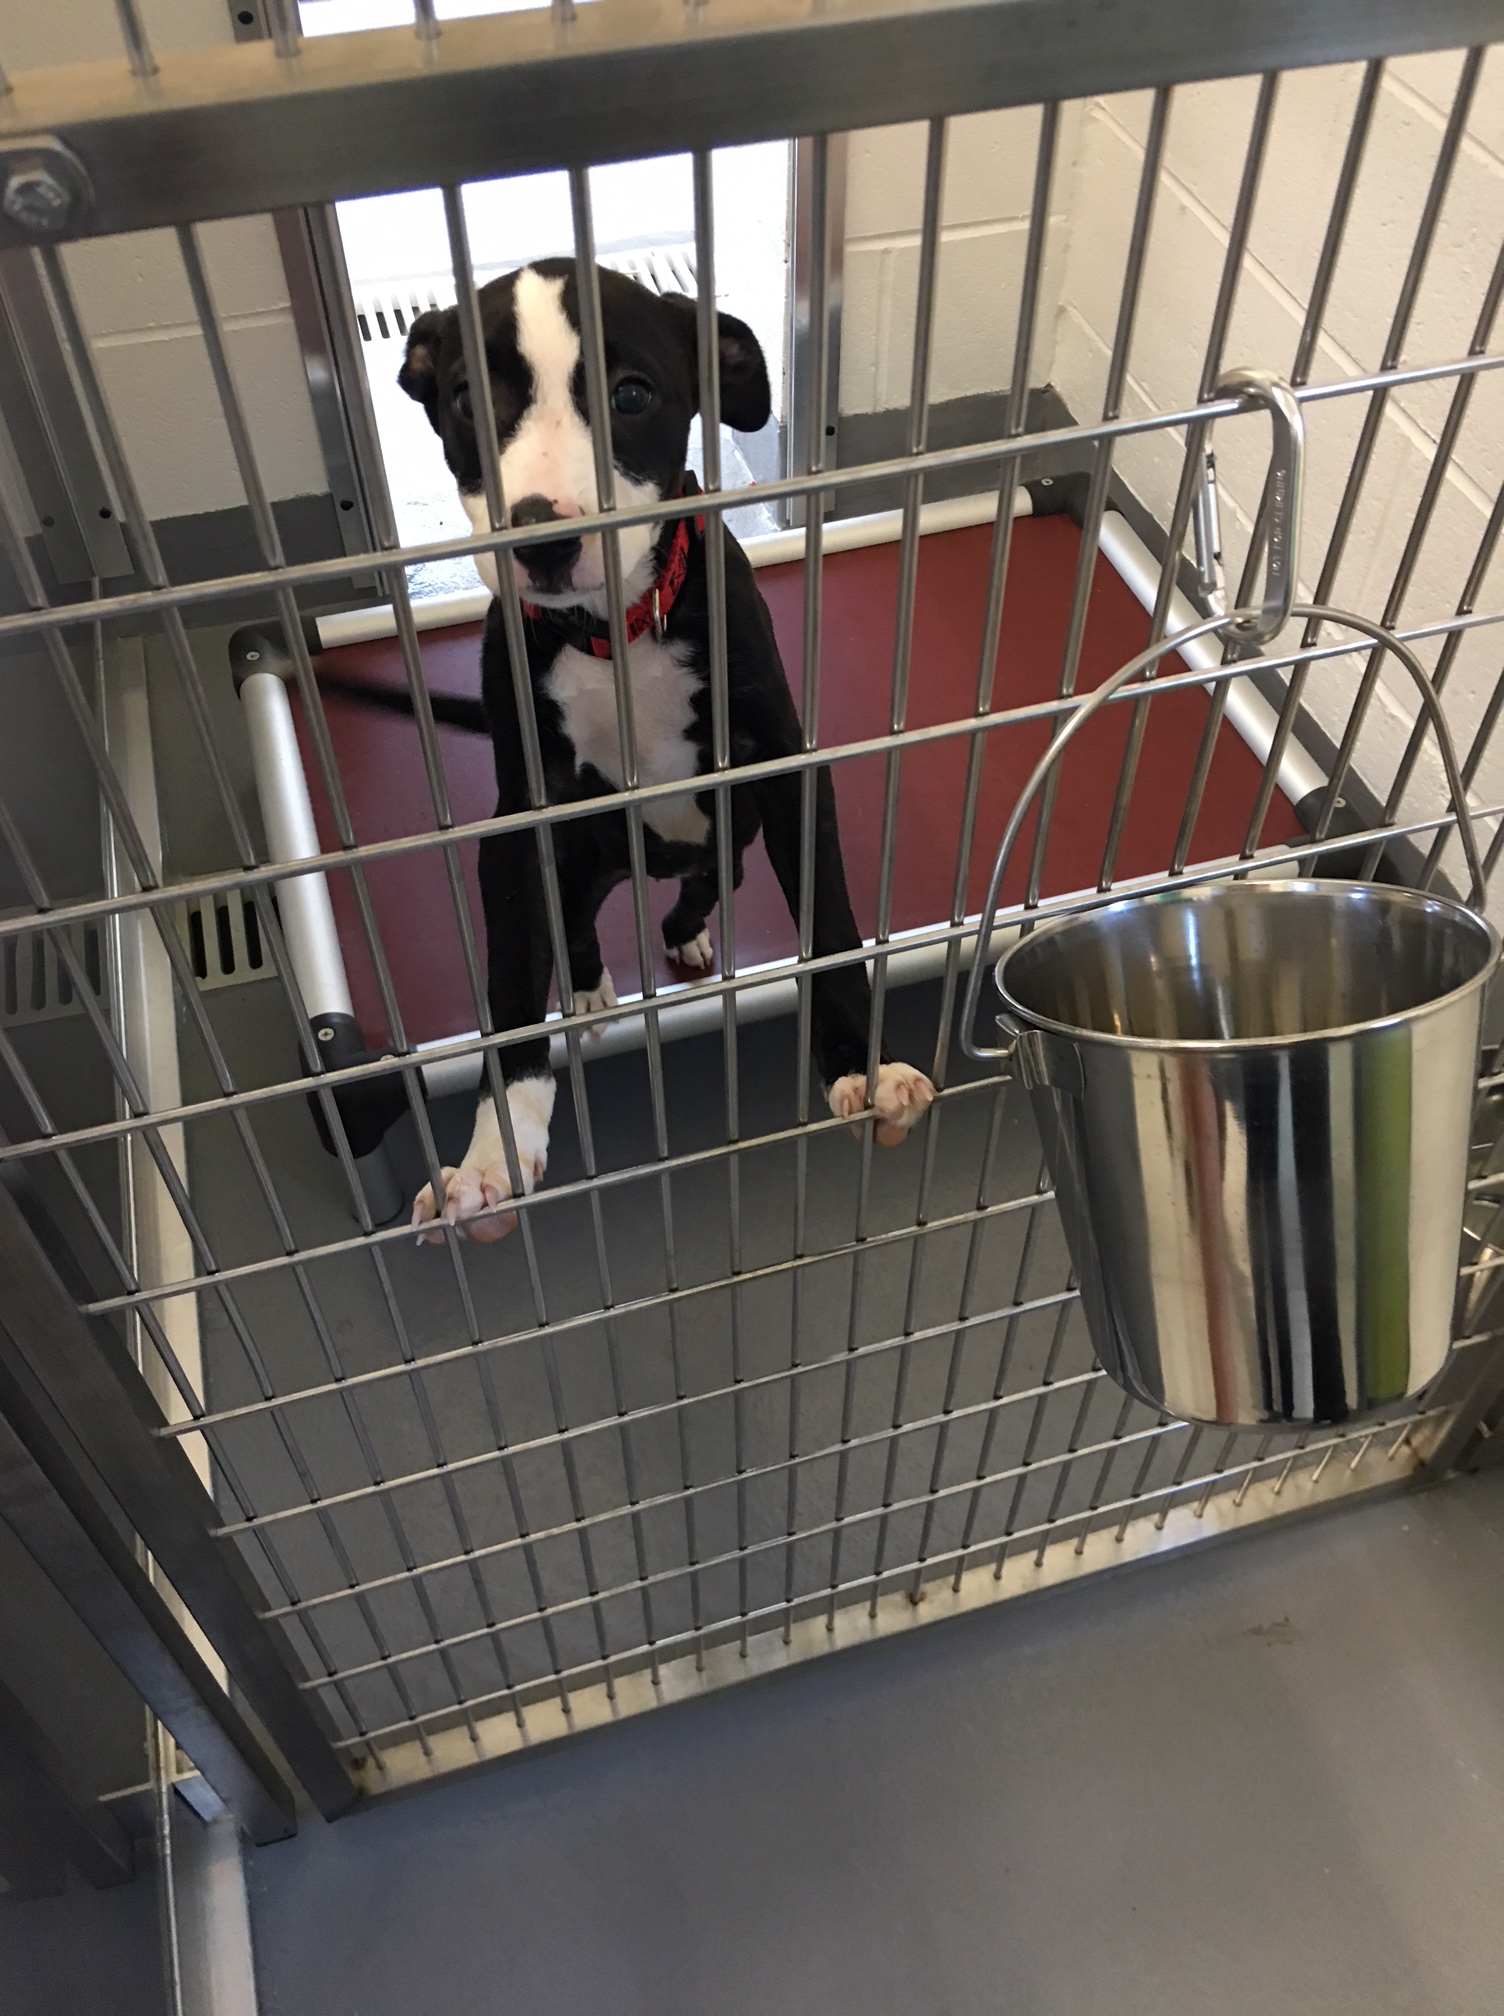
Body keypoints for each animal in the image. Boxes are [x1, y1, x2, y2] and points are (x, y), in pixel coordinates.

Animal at [395, 260, 935, 1240]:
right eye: (463, 400)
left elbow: (830, 928)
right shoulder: (519, 825)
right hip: (582, 853)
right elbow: (511, 993)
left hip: (733, 825)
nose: (543, 534)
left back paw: (684, 935)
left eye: (634, 394)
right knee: (575, 919)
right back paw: (586, 985)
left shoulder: (788, 778)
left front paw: (862, 1068)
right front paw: (492, 1158)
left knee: (710, 878)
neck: (616, 631)